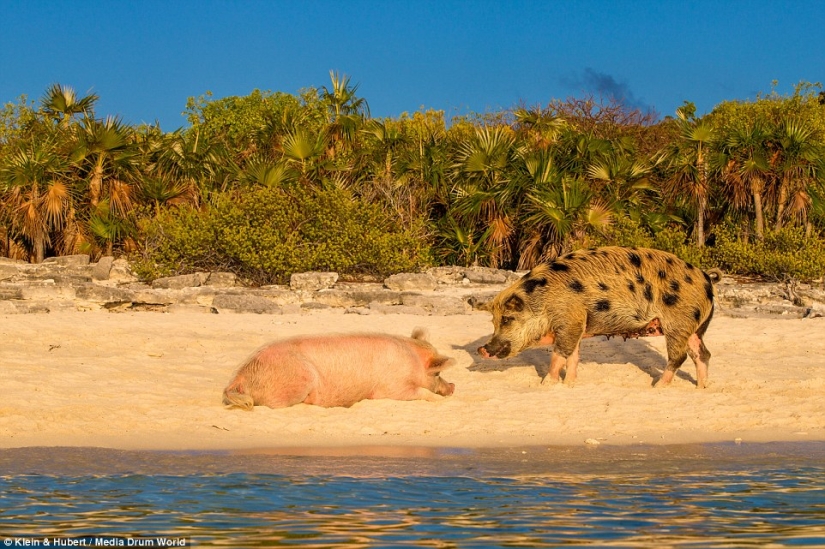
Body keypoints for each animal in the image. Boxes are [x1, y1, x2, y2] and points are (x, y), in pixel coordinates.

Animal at [223, 328, 455, 410]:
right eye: (438, 373)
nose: (453, 387)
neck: (412, 360)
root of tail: (241, 375)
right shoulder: (393, 388)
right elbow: (421, 392)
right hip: (297, 378)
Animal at [477, 246, 723, 388]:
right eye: (493, 321)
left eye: (507, 319)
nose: (482, 349)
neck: (544, 300)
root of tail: (706, 278)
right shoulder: (578, 323)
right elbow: (573, 356)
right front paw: (569, 384)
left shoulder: (569, 320)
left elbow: (559, 354)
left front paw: (546, 384)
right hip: (695, 327)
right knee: (703, 354)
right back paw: (701, 387)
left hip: (678, 322)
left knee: (679, 356)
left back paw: (656, 387)